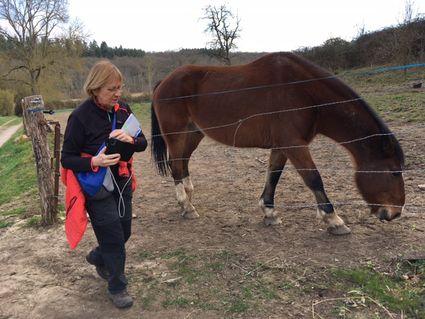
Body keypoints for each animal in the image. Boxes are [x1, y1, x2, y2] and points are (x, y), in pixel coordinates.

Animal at [150, 52, 404, 235]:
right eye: (393, 171)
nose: (395, 213)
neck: (305, 92)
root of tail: (164, 81)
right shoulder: (294, 145)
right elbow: (314, 178)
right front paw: (334, 220)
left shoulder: (282, 146)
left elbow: (273, 176)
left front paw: (269, 213)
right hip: (176, 135)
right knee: (176, 166)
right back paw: (186, 206)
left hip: (193, 134)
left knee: (183, 164)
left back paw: (188, 198)